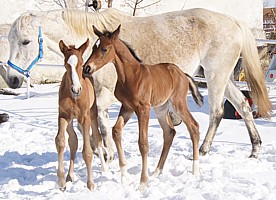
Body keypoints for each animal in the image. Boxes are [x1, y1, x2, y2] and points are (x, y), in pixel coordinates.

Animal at [6, 7, 272, 159]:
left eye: (26, 41)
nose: (12, 79)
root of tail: (233, 22)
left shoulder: (106, 96)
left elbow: (102, 125)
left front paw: (108, 154)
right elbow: (91, 127)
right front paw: (99, 151)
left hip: (216, 75)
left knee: (216, 111)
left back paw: (203, 150)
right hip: (222, 77)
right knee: (243, 106)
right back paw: (255, 148)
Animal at [55, 38, 108, 191]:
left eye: (81, 63)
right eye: (66, 64)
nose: (76, 89)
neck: (74, 97)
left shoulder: (85, 118)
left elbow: (88, 151)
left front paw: (90, 184)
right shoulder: (63, 115)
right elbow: (61, 141)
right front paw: (61, 182)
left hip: (93, 114)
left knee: (97, 137)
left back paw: (105, 169)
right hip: (71, 120)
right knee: (73, 141)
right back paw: (70, 176)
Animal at [82, 25, 203, 189]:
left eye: (104, 49)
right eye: (94, 48)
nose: (86, 68)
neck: (130, 76)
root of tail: (183, 74)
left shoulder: (143, 109)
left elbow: (143, 143)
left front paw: (143, 182)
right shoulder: (127, 107)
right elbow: (116, 131)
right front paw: (124, 176)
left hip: (178, 103)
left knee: (193, 126)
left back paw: (195, 170)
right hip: (161, 108)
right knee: (169, 132)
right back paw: (157, 172)